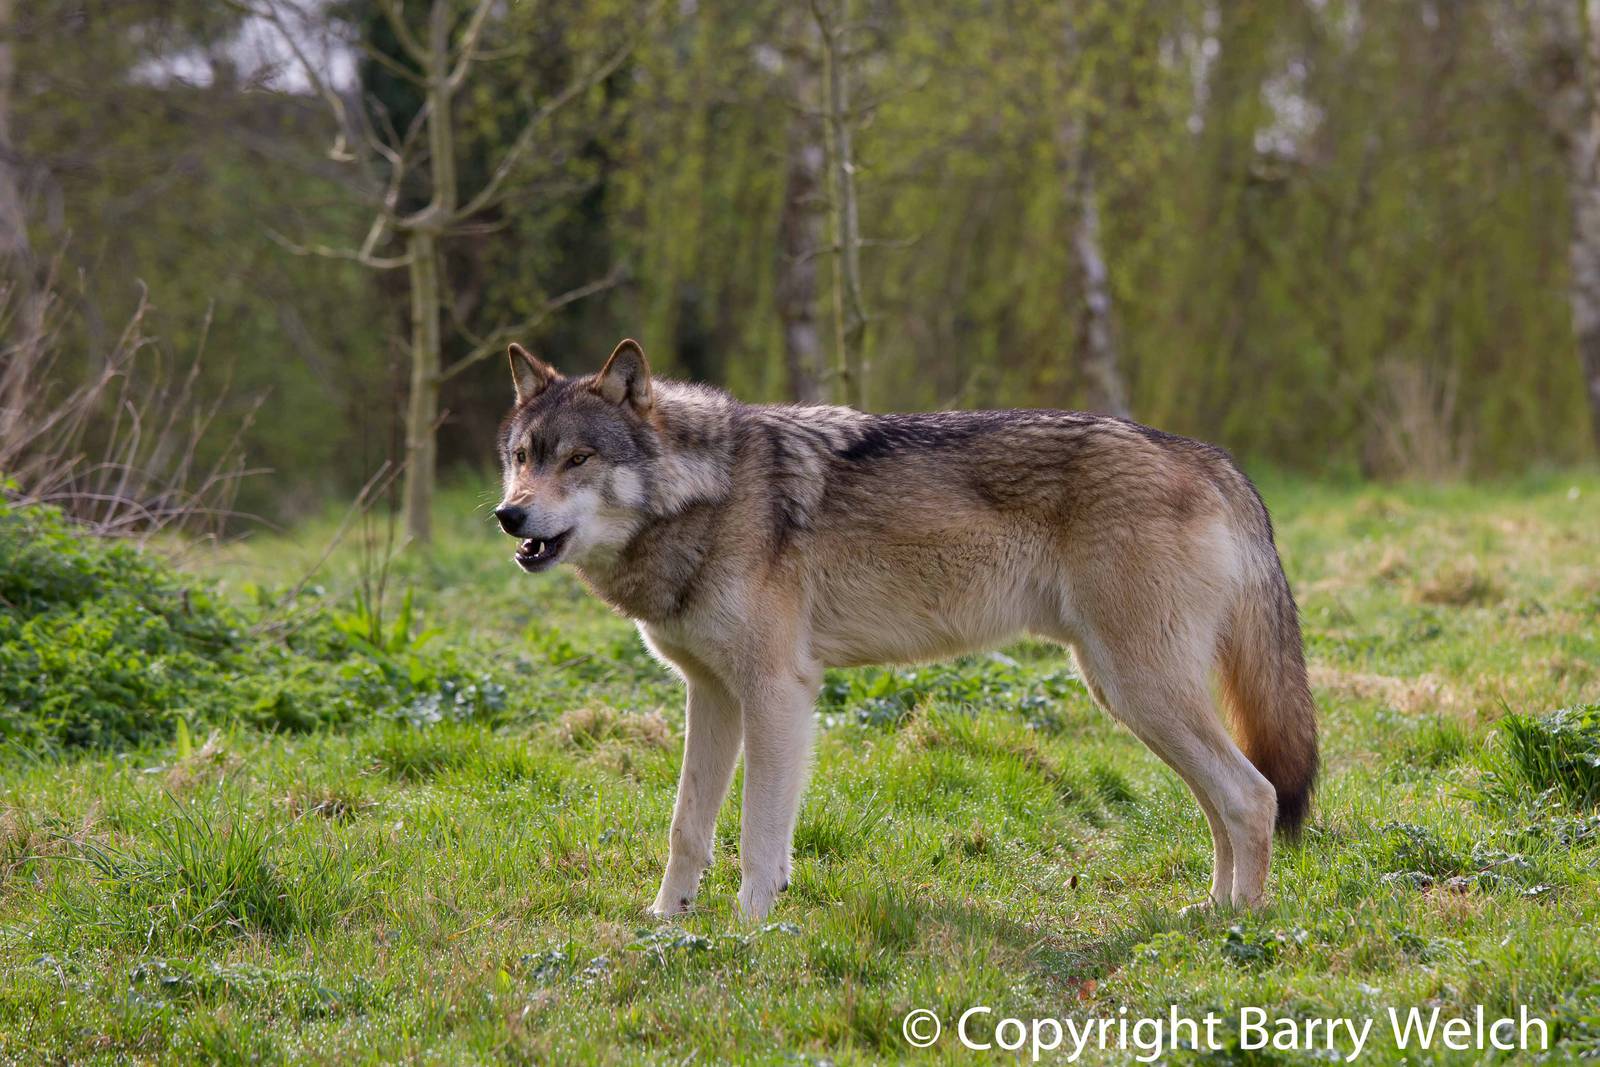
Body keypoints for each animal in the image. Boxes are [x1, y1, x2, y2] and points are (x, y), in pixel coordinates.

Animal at [494, 338, 1318, 921]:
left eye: (579, 458)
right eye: (522, 457)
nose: (509, 515)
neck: (709, 497)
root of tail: (1208, 456)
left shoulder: (777, 692)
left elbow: (758, 834)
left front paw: (750, 929)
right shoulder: (713, 694)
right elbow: (688, 826)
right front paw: (666, 921)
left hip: (1138, 689)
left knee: (1254, 796)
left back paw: (1243, 924)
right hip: (1130, 696)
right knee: (1223, 802)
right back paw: (1210, 910)